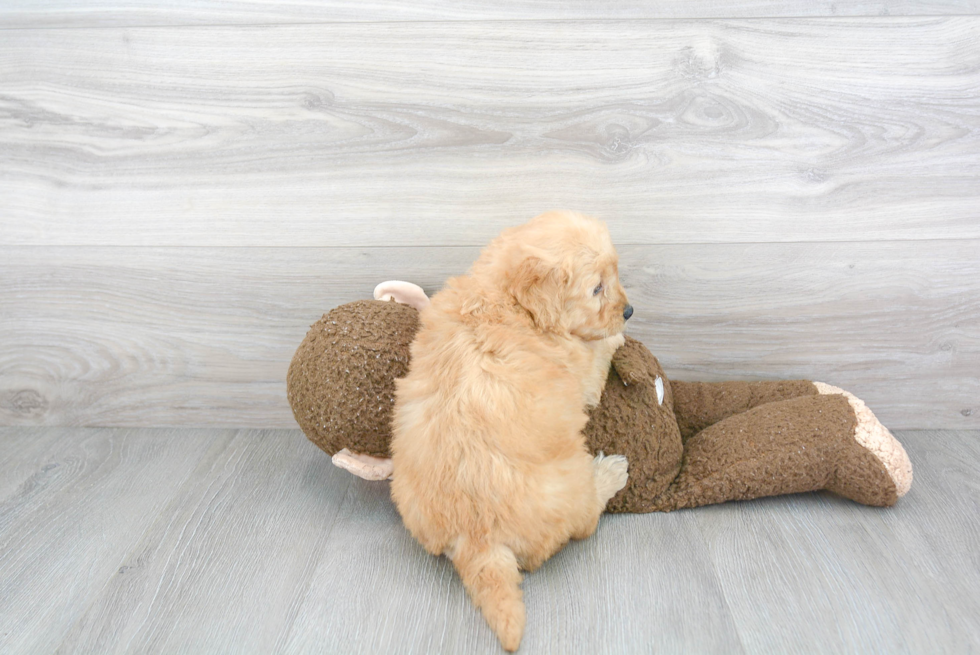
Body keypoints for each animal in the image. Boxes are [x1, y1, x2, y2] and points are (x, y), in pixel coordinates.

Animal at [386, 210, 632, 652]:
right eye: (597, 288)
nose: (630, 311)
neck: (505, 297)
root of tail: (477, 540)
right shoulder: (581, 374)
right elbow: (595, 353)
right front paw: (616, 337)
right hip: (572, 483)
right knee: (586, 520)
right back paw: (610, 473)